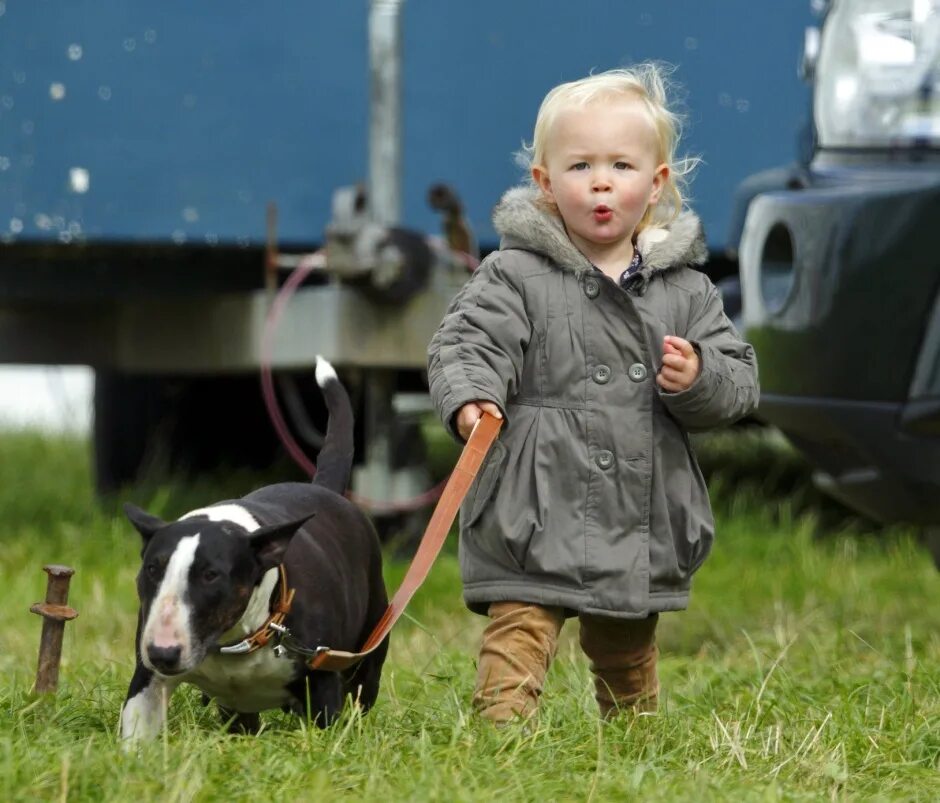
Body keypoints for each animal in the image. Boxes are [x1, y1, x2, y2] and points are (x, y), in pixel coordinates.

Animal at [118, 362, 390, 744]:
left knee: (363, 693)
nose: (163, 654)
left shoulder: (322, 679)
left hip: (367, 651)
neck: (236, 641)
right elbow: (138, 729)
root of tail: (325, 490)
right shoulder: (148, 680)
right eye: (152, 569)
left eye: (211, 575)